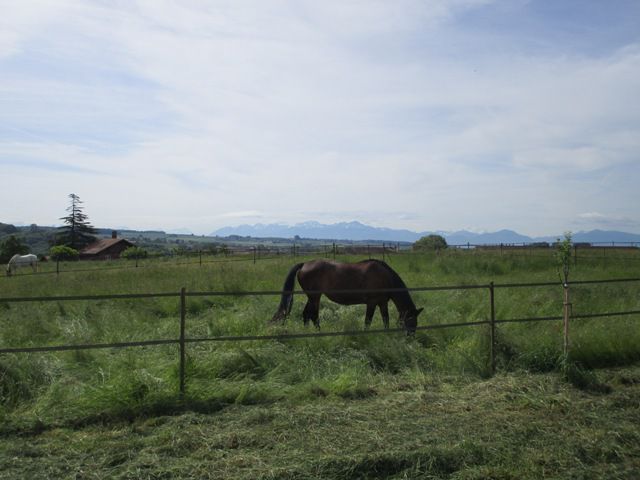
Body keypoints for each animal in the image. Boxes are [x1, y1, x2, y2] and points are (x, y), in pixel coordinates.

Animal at [271, 259, 423, 332]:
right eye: (411, 321)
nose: (410, 338)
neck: (385, 277)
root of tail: (304, 264)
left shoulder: (382, 303)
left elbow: (386, 320)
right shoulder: (372, 303)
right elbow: (368, 321)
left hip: (312, 297)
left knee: (306, 314)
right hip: (315, 297)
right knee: (313, 315)